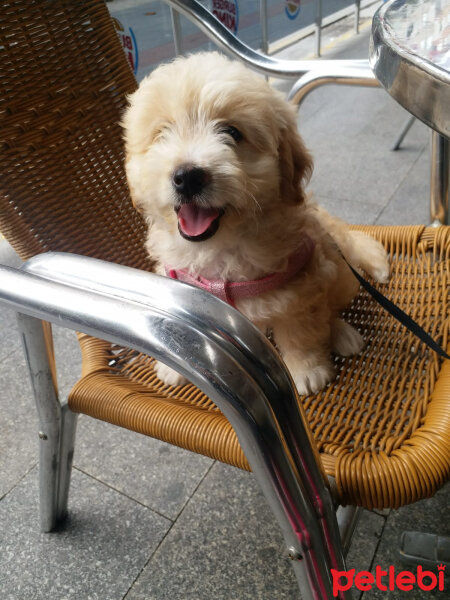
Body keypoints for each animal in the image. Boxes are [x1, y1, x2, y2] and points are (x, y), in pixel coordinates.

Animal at [121, 52, 388, 394]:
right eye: (161, 133)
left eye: (232, 133)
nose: (188, 176)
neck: (219, 249)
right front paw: (173, 365)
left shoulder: (300, 284)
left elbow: (302, 327)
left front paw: (307, 369)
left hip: (339, 273)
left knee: (330, 307)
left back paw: (343, 334)